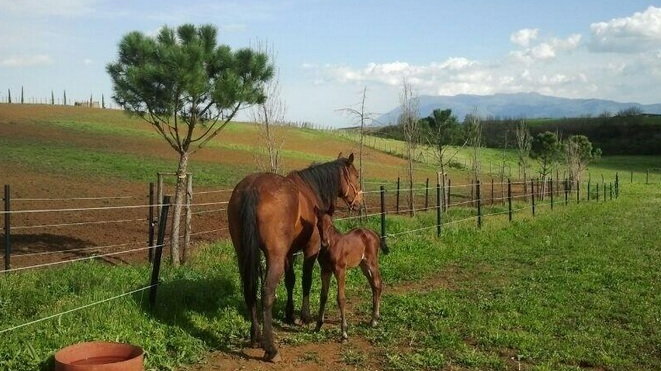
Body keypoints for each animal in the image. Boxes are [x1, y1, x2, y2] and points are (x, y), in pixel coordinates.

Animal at [314, 208, 386, 342]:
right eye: (318, 225)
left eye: (330, 225)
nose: (324, 243)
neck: (332, 246)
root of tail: (372, 232)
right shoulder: (325, 271)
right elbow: (323, 296)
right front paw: (317, 326)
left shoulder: (340, 270)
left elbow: (341, 298)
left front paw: (344, 333)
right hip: (363, 265)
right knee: (373, 285)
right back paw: (374, 318)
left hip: (372, 262)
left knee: (378, 283)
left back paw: (374, 320)